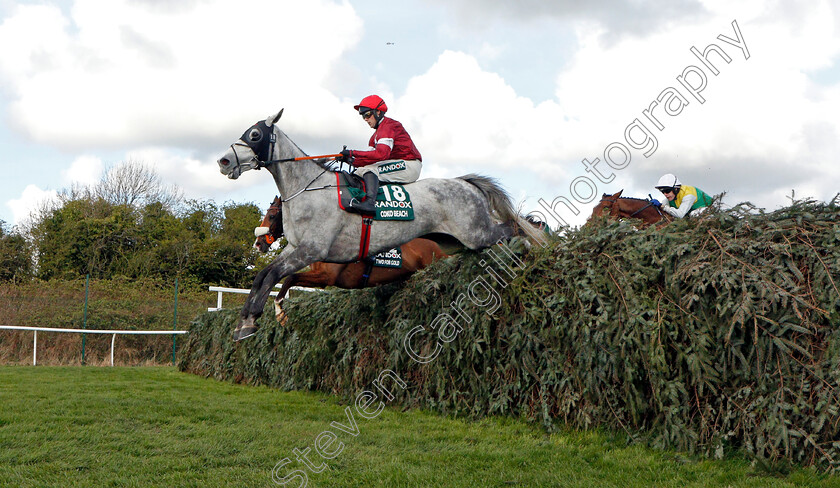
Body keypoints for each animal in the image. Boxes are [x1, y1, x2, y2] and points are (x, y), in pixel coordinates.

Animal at [254, 196, 446, 322]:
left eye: (272, 216)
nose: (258, 243)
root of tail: (439, 248)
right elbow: (290, 278)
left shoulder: (327, 277)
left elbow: (290, 278)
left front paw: (279, 312)